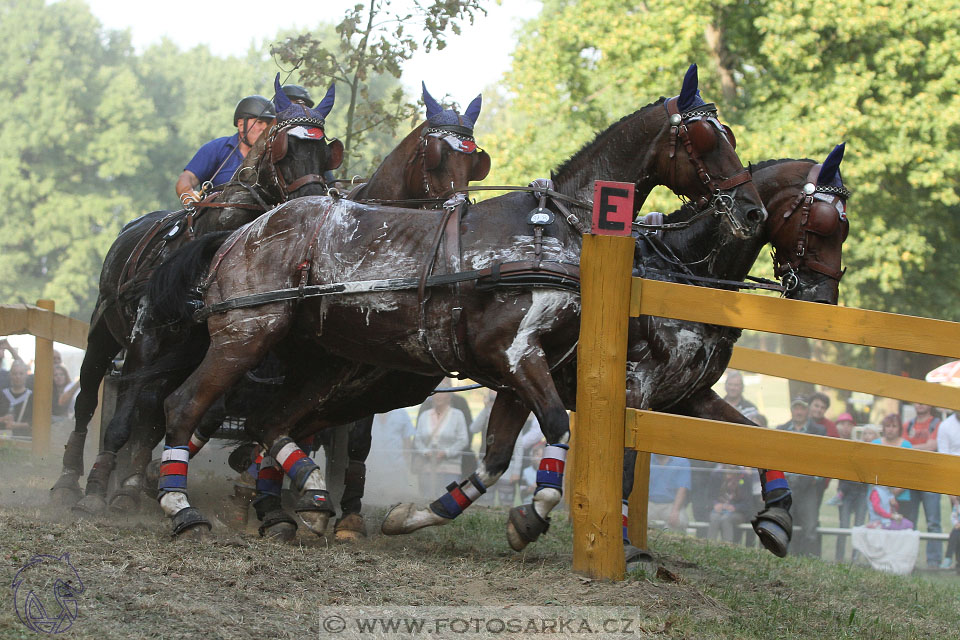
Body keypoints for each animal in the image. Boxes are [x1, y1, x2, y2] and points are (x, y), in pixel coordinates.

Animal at [50, 72, 342, 508]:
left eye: (325, 153)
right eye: (284, 149)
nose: (311, 202)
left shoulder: (201, 349)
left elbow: (166, 415)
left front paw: (132, 485)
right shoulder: (145, 340)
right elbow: (122, 419)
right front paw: (99, 486)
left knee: (152, 408)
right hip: (103, 334)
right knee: (87, 400)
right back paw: (70, 478)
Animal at [146, 63, 768, 536]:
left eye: (732, 135)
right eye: (707, 139)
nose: (754, 209)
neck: (551, 232)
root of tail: (241, 233)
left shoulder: (524, 366)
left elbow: (496, 456)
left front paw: (420, 514)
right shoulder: (513, 353)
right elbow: (557, 430)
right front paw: (533, 515)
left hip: (325, 361)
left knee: (271, 423)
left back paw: (305, 496)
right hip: (248, 334)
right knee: (187, 407)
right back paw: (179, 506)